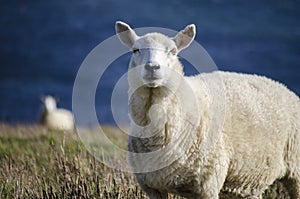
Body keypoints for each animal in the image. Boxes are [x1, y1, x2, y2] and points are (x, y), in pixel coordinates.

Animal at [115, 20, 300, 199]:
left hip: (296, 169)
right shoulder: (152, 187)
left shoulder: (208, 184)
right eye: (135, 50)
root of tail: (285, 88)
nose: (153, 67)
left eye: (173, 51)